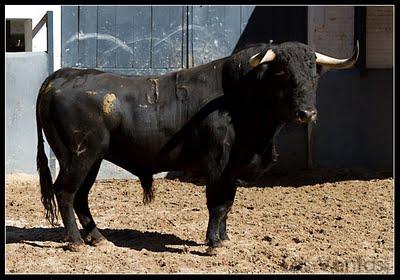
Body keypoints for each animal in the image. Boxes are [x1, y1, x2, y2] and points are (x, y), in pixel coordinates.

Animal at [36, 41, 358, 252]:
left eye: (314, 75)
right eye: (282, 73)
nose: (307, 113)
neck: (239, 98)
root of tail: (61, 76)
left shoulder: (232, 170)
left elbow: (227, 204)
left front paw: (224, 239)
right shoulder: (217, 165)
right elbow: (216, 204)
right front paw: (213, 243)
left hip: (93, 159)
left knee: (80, 197)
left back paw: (99, 238)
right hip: (79, 156)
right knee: (65, 192)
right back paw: (76, 242)